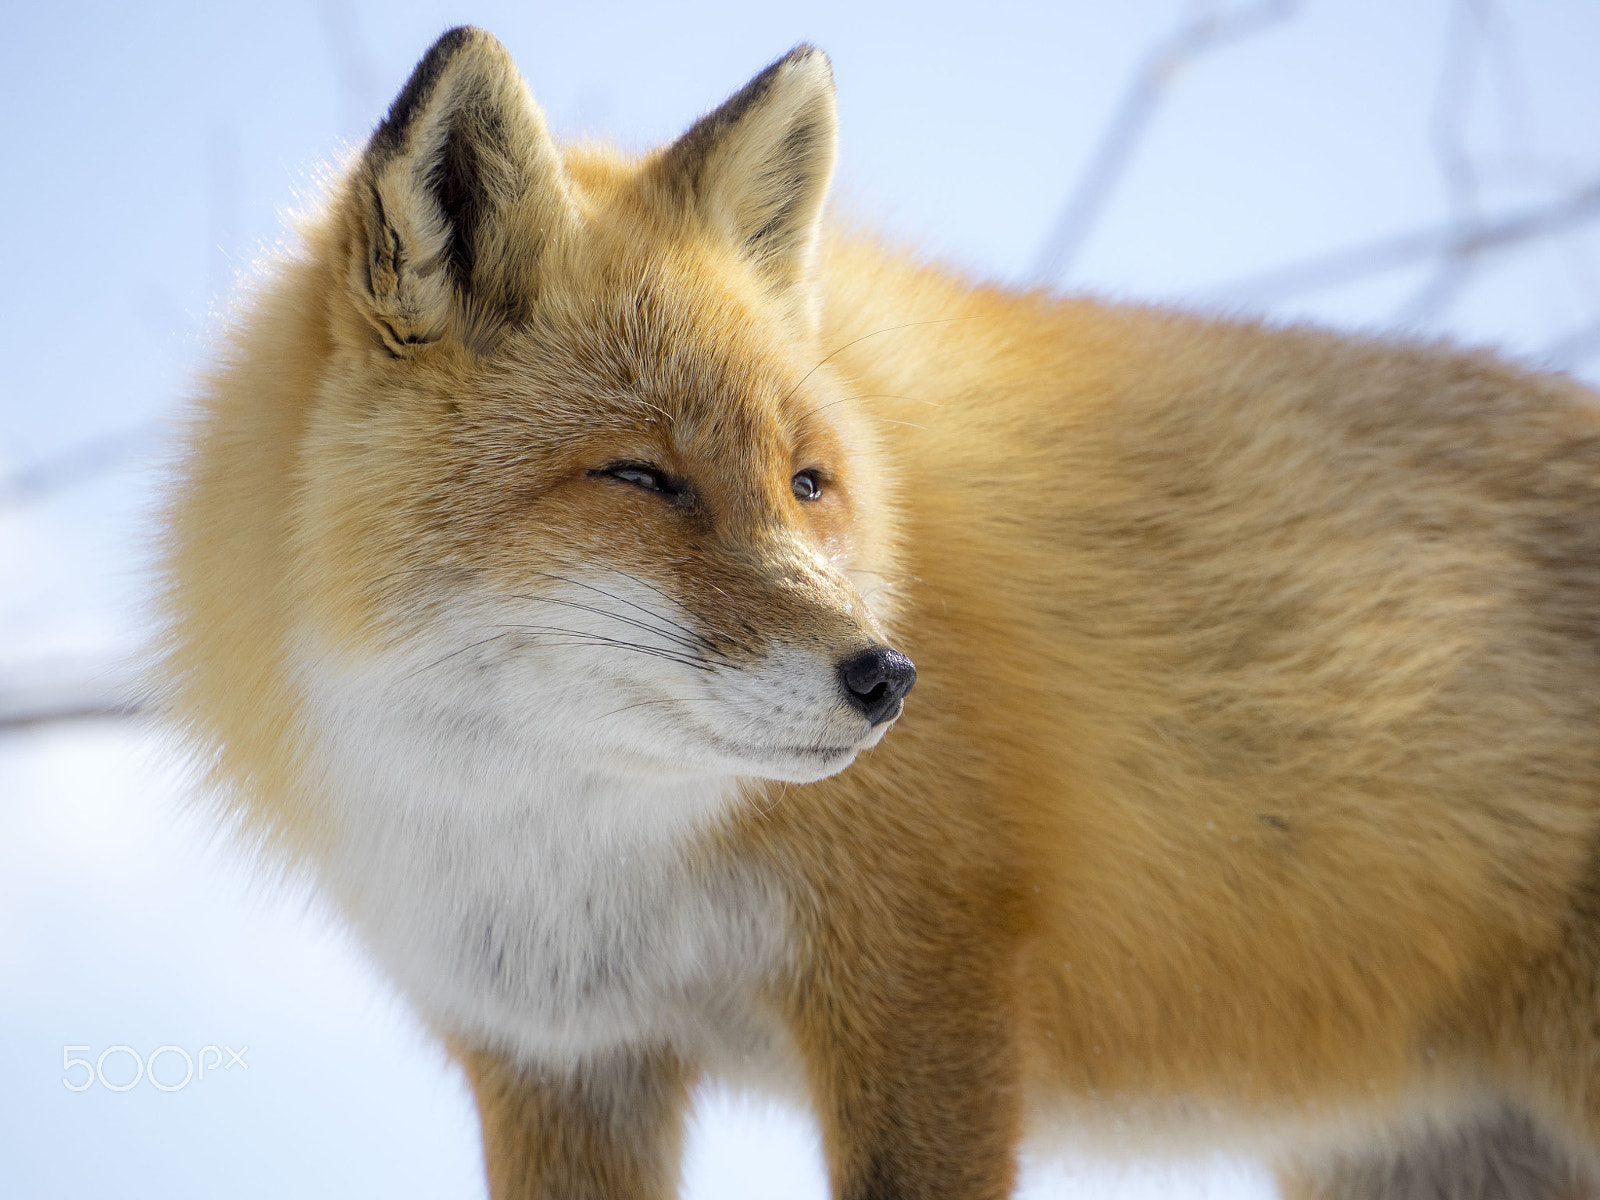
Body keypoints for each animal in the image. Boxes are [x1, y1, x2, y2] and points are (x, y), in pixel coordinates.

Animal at [157, 25, 1600, 1200]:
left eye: (809, 482)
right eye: (640, 477)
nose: (886, 678)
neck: (574, 842)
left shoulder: (919, 985)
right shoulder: (563, 1053)